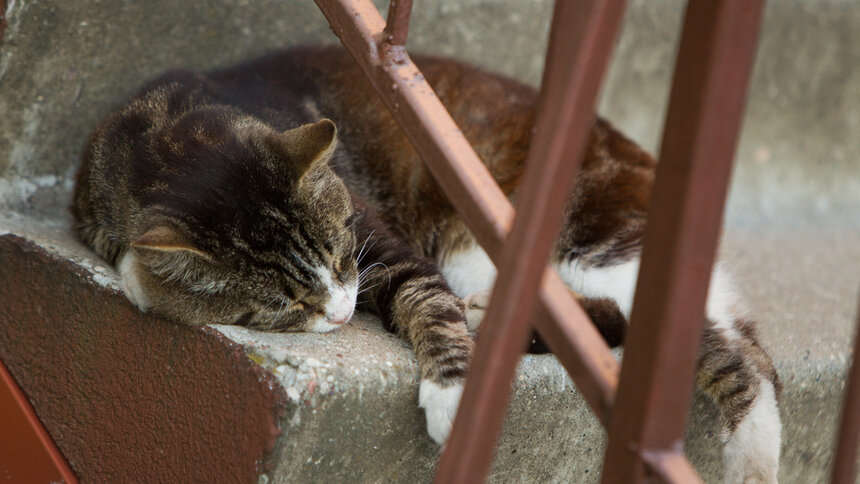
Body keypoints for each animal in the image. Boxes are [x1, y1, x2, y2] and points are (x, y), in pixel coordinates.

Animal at [74, 46, 784, 484]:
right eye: (284, 303)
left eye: (339, 251)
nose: (343, 311)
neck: (166, 133)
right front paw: (142, 275)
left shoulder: (380, 242)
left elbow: (425, 298)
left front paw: (452, 394)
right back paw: (495, 319)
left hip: (582, 236)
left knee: (731, 349)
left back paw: (753, 454)